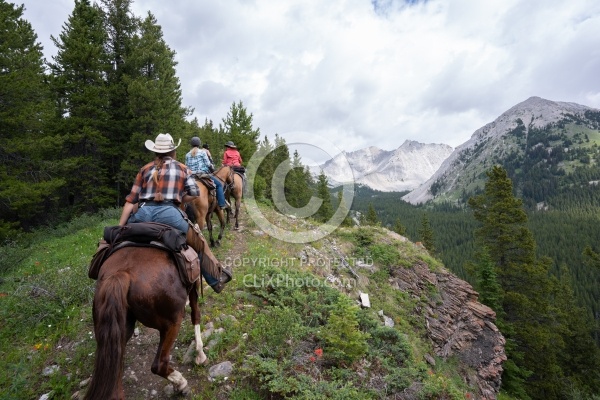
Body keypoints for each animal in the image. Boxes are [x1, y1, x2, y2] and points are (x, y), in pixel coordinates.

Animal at [82, 230, 218, 398]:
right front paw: (200, 354)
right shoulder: (193, 287)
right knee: (159, 364)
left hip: (118, 331)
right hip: (172, 322)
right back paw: (181, 383)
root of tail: (122, 273)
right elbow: (196, 315)